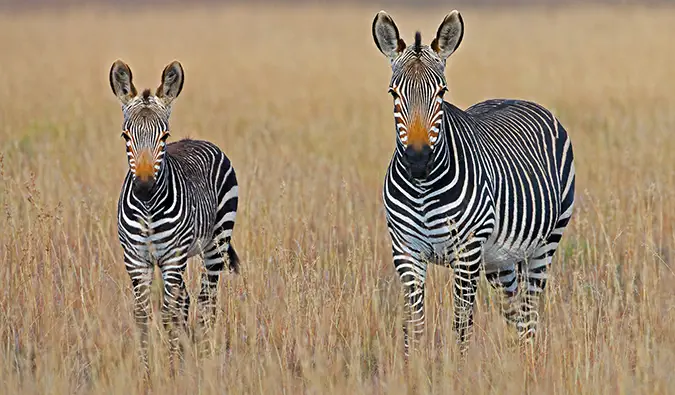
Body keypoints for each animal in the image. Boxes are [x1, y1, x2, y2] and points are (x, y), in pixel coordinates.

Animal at [108, 60, 240, 376]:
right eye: (125, 136)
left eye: (164, 137)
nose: (144, 188)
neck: (147, 208)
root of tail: (197, 140)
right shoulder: (136, 260)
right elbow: (143, 316)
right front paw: (146, 373)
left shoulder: (172, 258)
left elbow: (168, 315)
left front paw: (170, 372)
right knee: (187, 301)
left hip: (215, 244)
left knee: (206, 301)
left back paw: (205, 359)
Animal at [372, 10, 580, 358]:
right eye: (393, 94)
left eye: (441, 92)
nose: (417, 160)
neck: (423, 190)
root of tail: (516, 98)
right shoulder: (405, 251)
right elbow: (413, 326)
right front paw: (411, 367)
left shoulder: (467, 252)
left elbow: (460, 325)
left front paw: (458, 368)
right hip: (500, 259)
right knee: (514, 311)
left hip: (545, 243)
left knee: (529, 313)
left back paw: (527, 361)